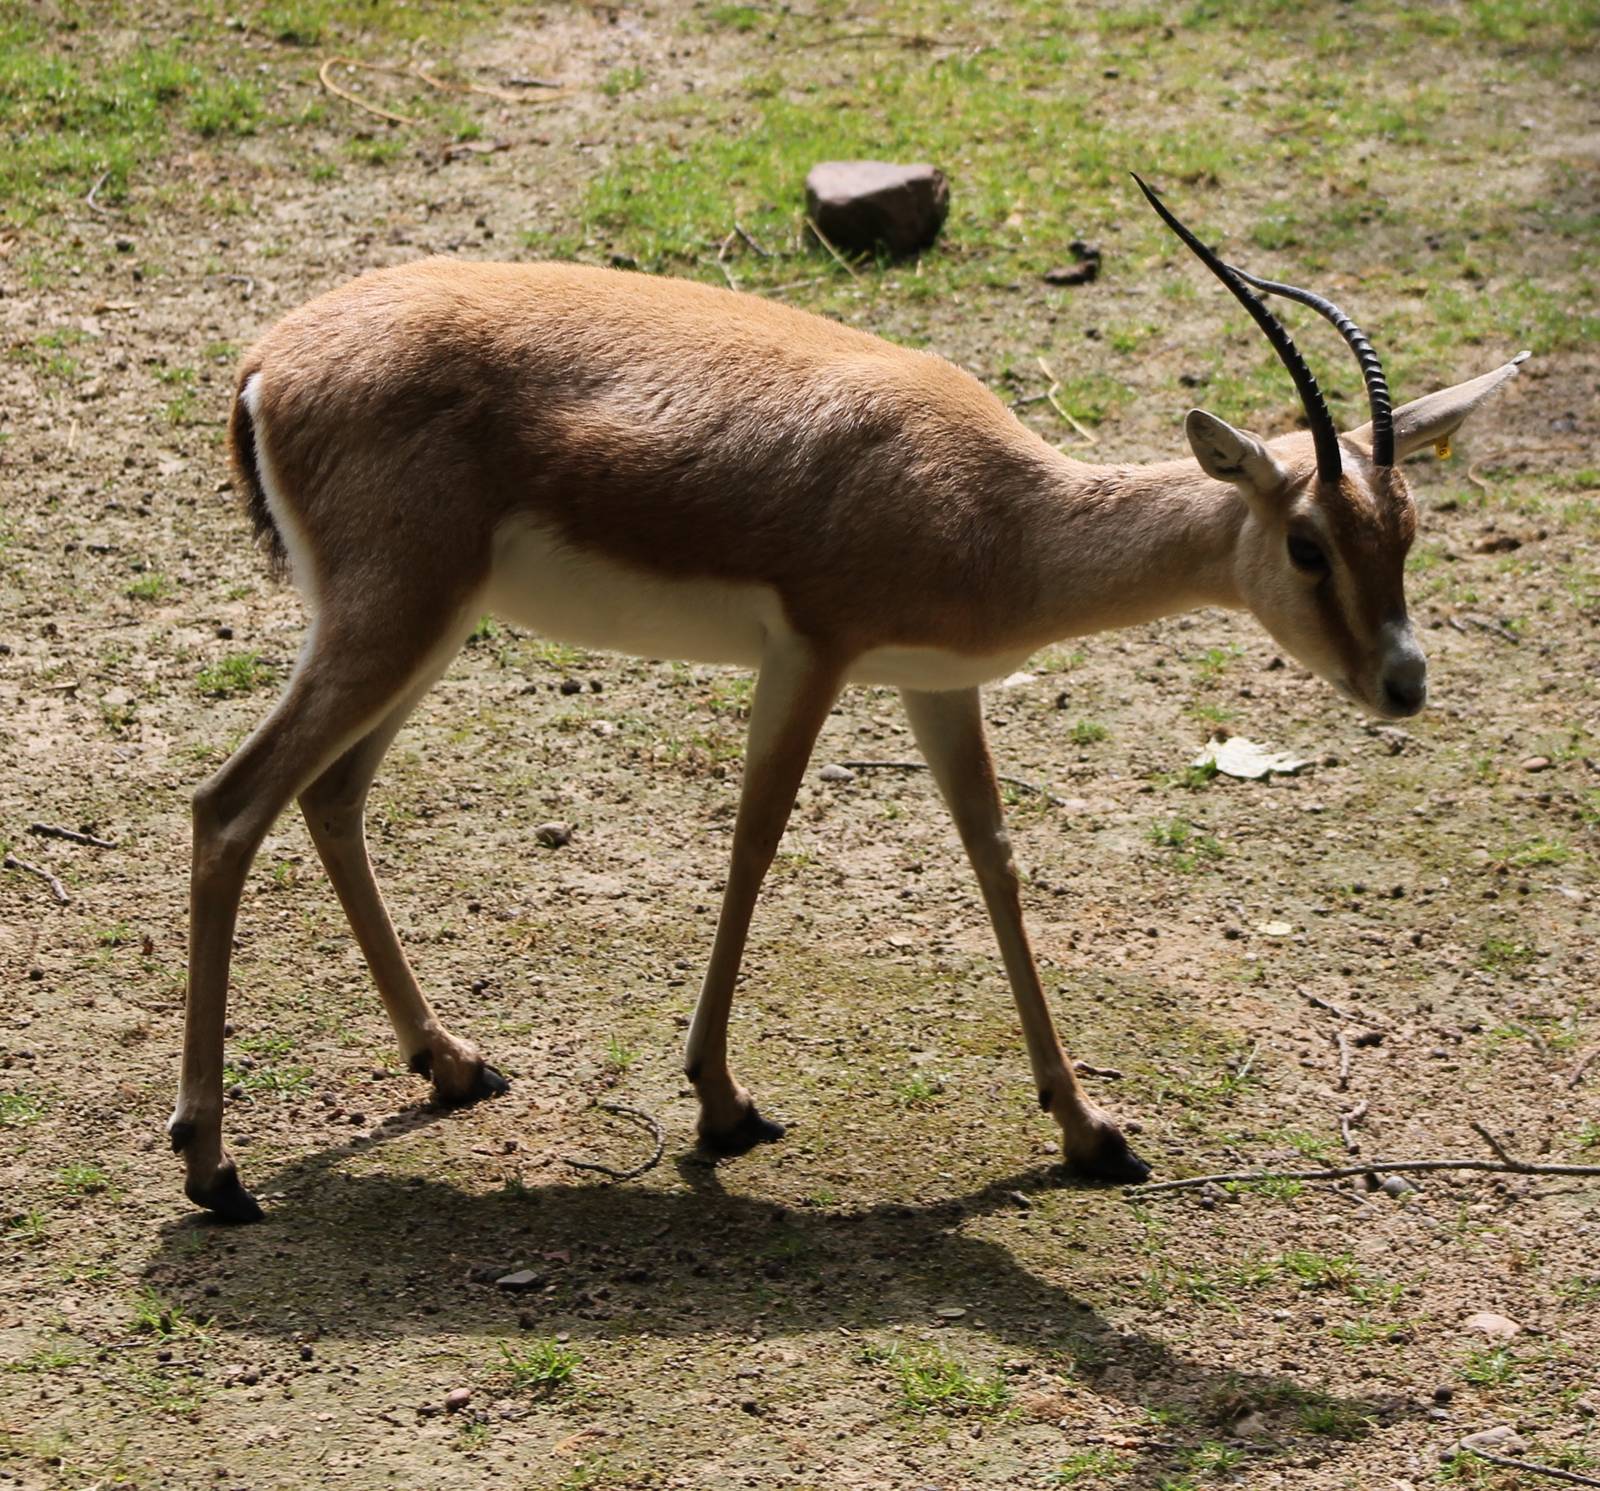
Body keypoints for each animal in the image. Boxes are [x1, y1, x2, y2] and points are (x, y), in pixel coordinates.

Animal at [170, 176, 1526, 1221]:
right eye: (1307, 542)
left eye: (1408, 528)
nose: (1402, 683)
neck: (998, 515)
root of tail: (267, 360)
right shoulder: (810, 656)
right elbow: (755, 845)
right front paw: (723, 1106)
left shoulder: (936, 686)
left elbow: (994, 863)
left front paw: (1090, 1133)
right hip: (393, 625)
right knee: (229, 806)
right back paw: (214, 1168)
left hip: (427, 633)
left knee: (331, 797)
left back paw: (449, 1065)